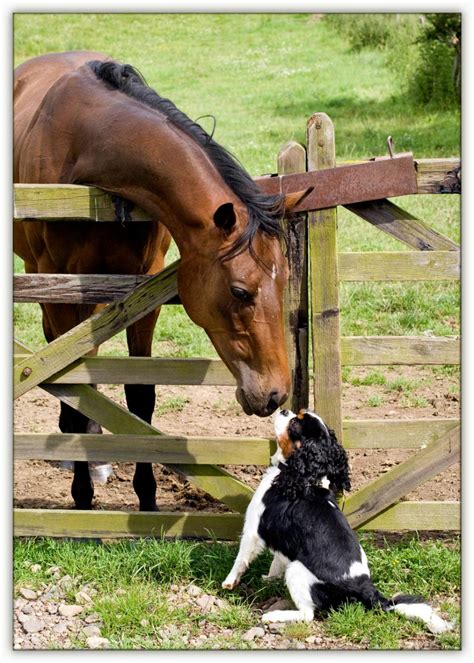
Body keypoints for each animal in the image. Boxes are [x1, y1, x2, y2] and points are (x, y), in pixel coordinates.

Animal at [13, 52, 308, 510]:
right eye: (240, 291)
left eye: (283, 285)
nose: (276, 394)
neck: (89, 148)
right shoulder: (59, 289)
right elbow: (73, 390)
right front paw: (82, 496)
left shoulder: (142, 290)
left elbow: (141, 394)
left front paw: (147, 498)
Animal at [222, 410, 452, 632]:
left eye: (295, 423)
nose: (285, 410)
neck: (304, 479)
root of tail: (364, 587)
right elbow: (277, 560)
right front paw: (270, 578)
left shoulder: (253, 529)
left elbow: (241, 559)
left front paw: (228, 582)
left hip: (296, 570)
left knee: (307, 615)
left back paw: (274, 615)